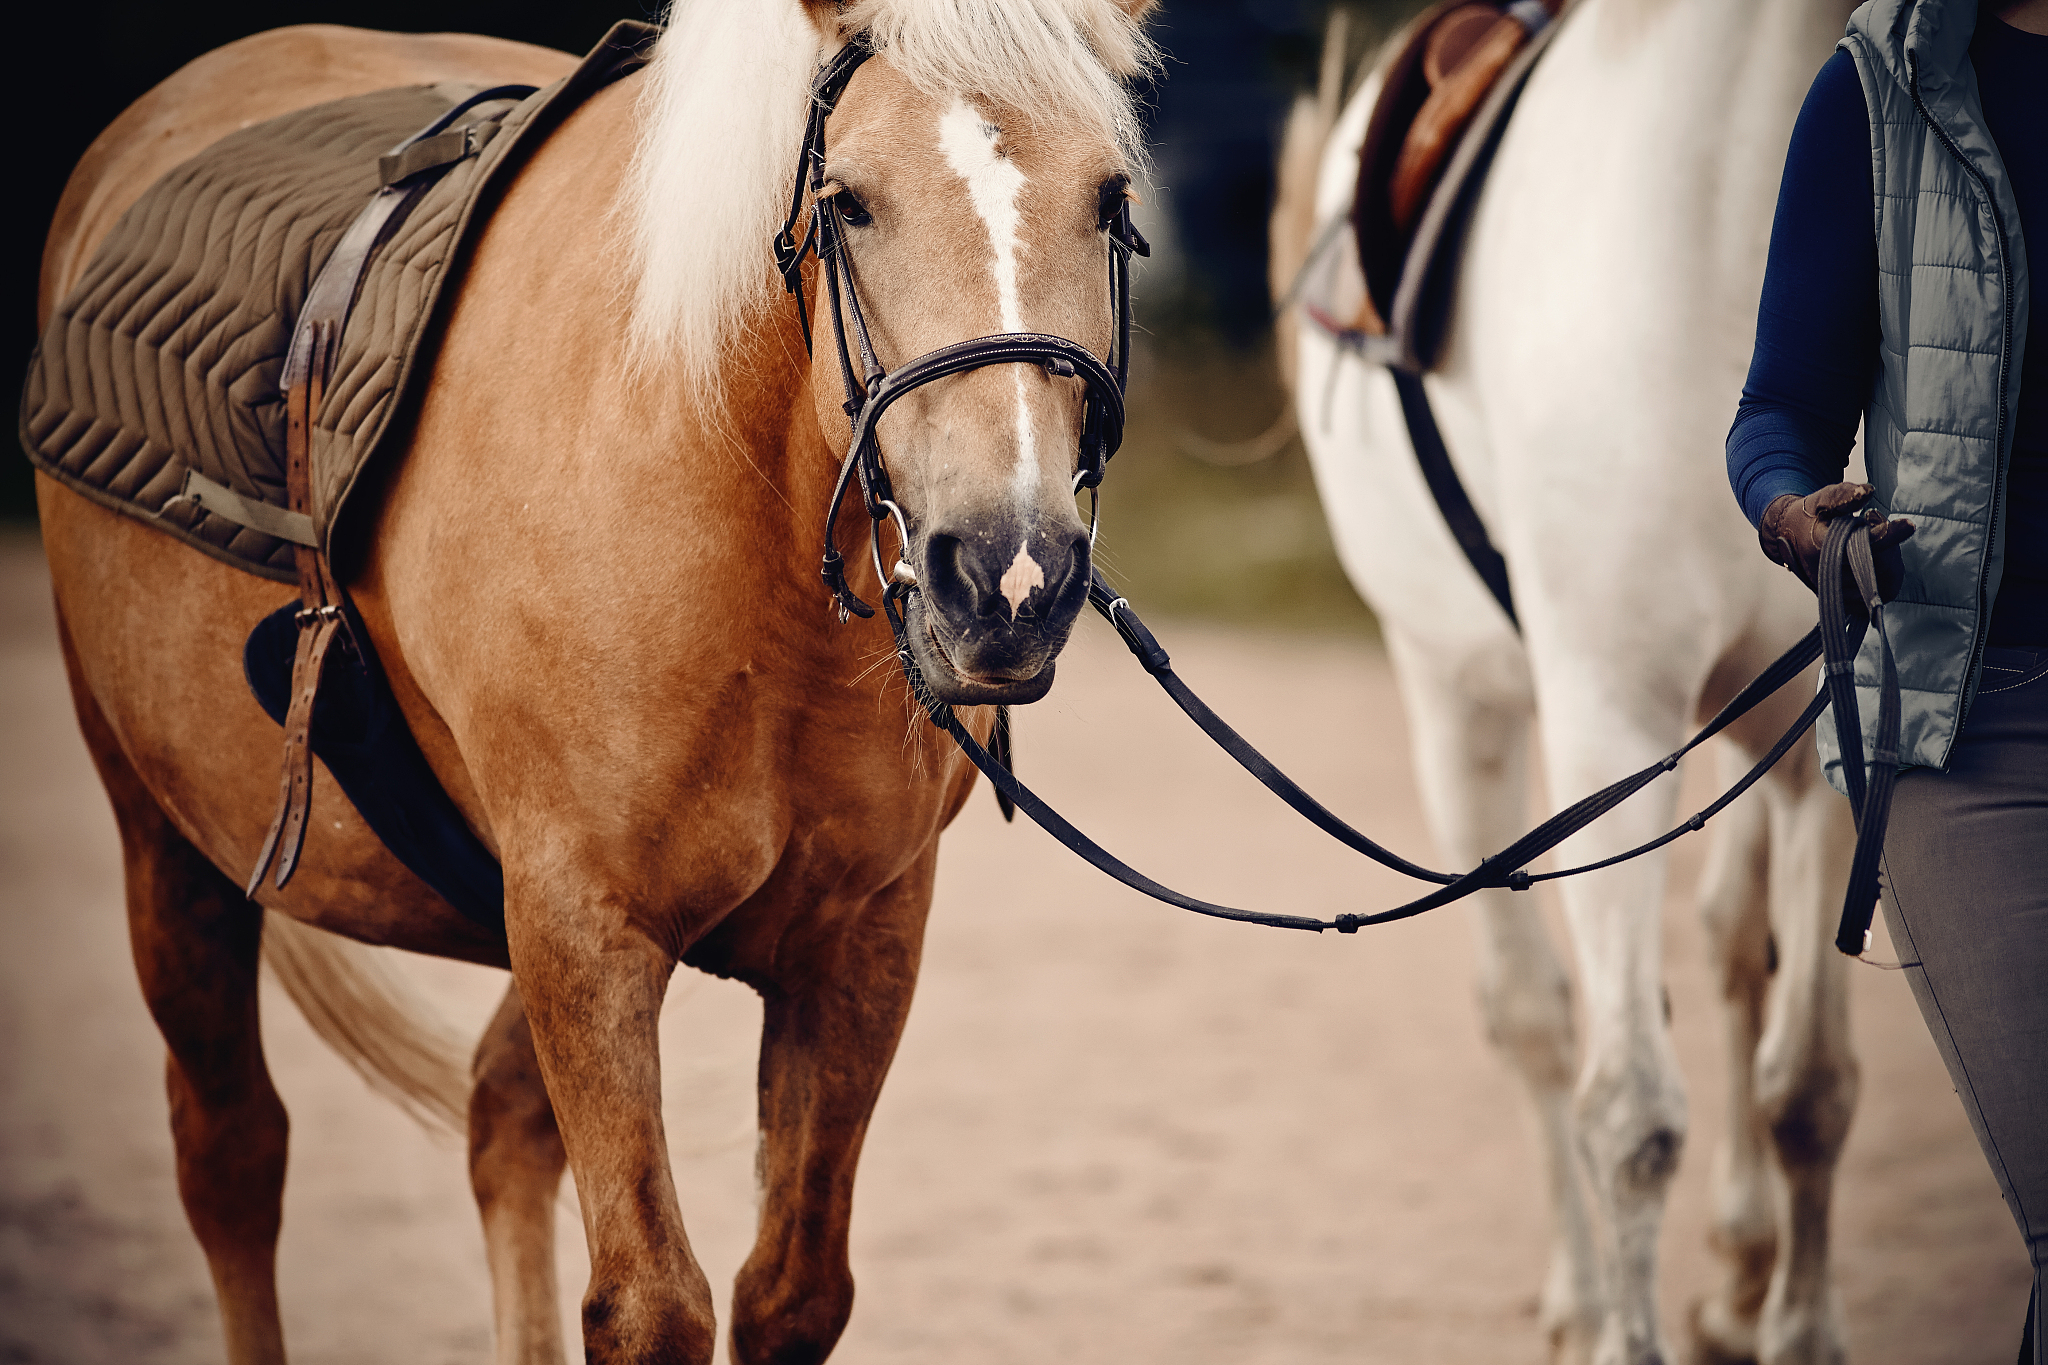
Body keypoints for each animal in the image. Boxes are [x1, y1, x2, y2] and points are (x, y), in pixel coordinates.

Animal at [32, 0, 1158, 1360]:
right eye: (848, 202)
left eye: (1109, 200)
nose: (1007, 570)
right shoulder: (583, 925)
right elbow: (649, 1306)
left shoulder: (861, 938)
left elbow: (789, 1293)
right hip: (163, 834)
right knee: (232, 1158)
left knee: (495, 1121)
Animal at [1273, 2, 1860, 1362]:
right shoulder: (1604, 726)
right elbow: (1629, 1118)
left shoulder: (1824, 731)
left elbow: (1808, 1083)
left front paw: (1794, 1323)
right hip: (1463, 711)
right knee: (1536, 1017)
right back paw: (1586, 1296)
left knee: (1727, 952)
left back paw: (1739, 1269)